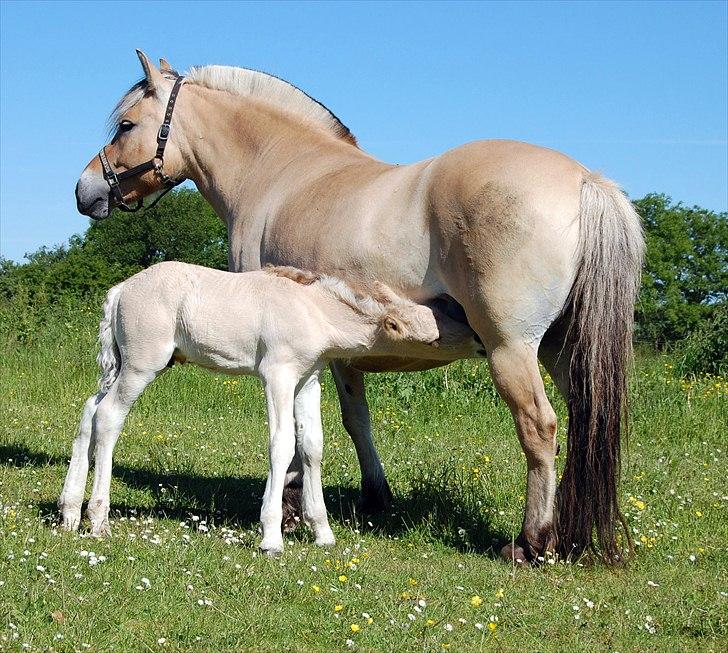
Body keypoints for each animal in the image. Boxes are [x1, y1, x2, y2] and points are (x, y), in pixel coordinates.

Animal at [58, 262, 466, 552]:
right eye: (432, 338)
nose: (473, 335)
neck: (314, 311)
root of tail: (119, 290)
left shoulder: (308, 380)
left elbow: (312, 446)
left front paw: (322, 531)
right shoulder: (278, 375)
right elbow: (282, 445)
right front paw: (271, 536)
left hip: (123, 365)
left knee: (90, 410)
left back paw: (69, 513)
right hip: (143, 363)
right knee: (109, 416)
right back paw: (98, 519)